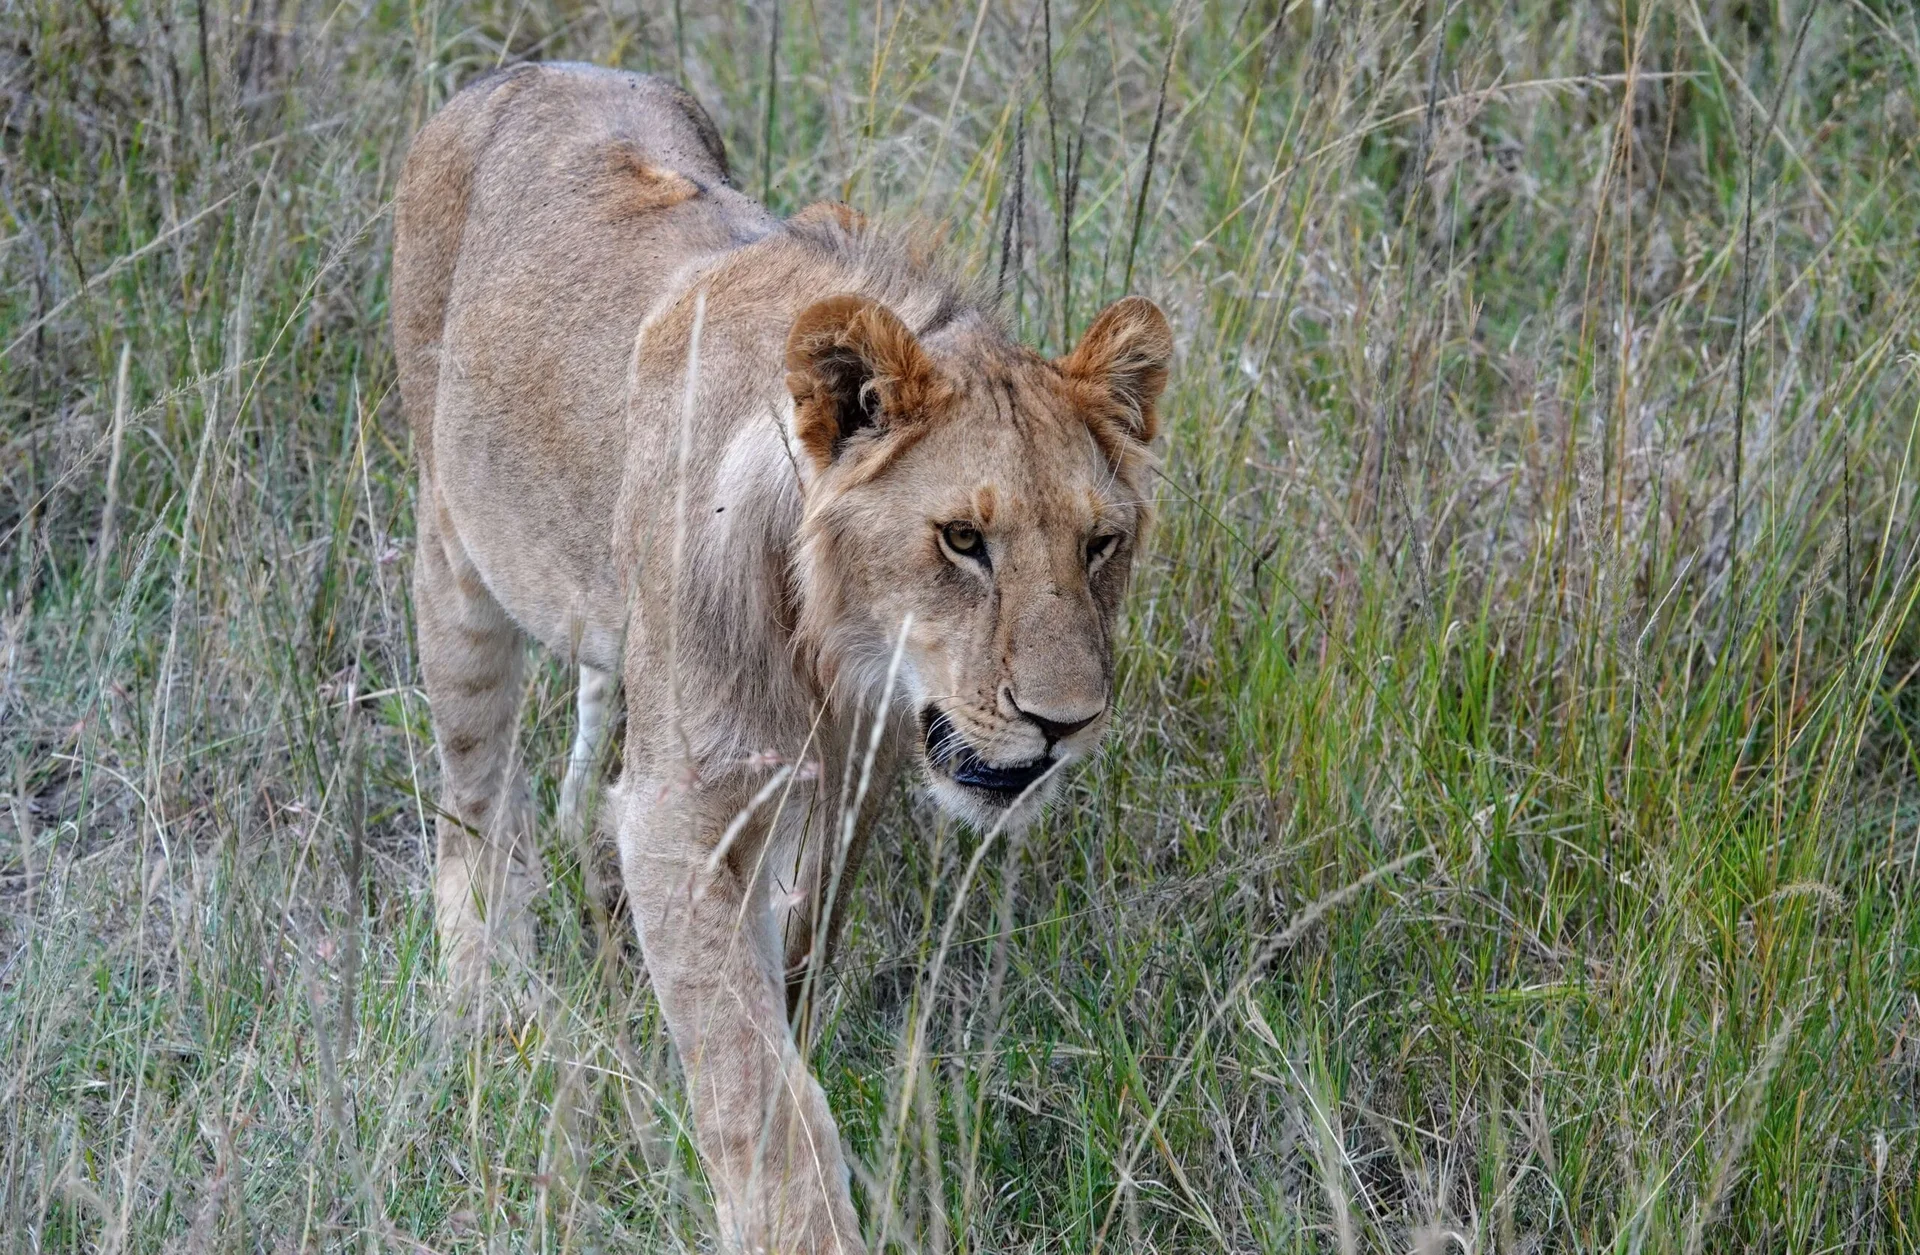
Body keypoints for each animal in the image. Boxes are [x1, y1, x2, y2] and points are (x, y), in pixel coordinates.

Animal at [391, 62, 1170, 1254]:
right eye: (962, 539)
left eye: (1100, 544)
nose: (1066, 722)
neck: (836, 660)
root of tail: (528, 69)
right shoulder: (678, 820)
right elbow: (753, 1079)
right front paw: (799, 1217)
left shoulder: (855, 785)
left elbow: (791, 963)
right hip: (454, 558)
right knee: (471, 801)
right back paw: (484, 1004)